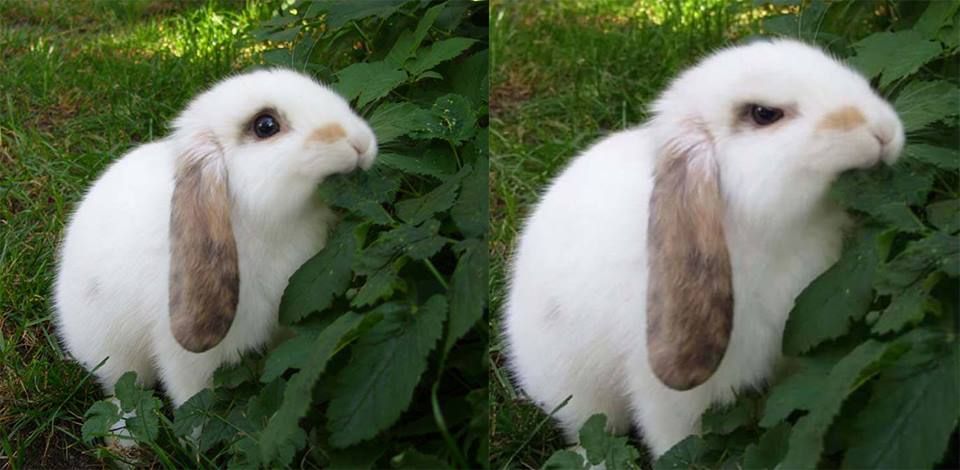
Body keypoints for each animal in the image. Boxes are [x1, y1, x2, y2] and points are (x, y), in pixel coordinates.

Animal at [54, 68, 377, 416]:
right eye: (265, 125)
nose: (360, 143)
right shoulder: (186, 359)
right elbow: (193, 402)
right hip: (115, 355)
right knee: (123, 391)